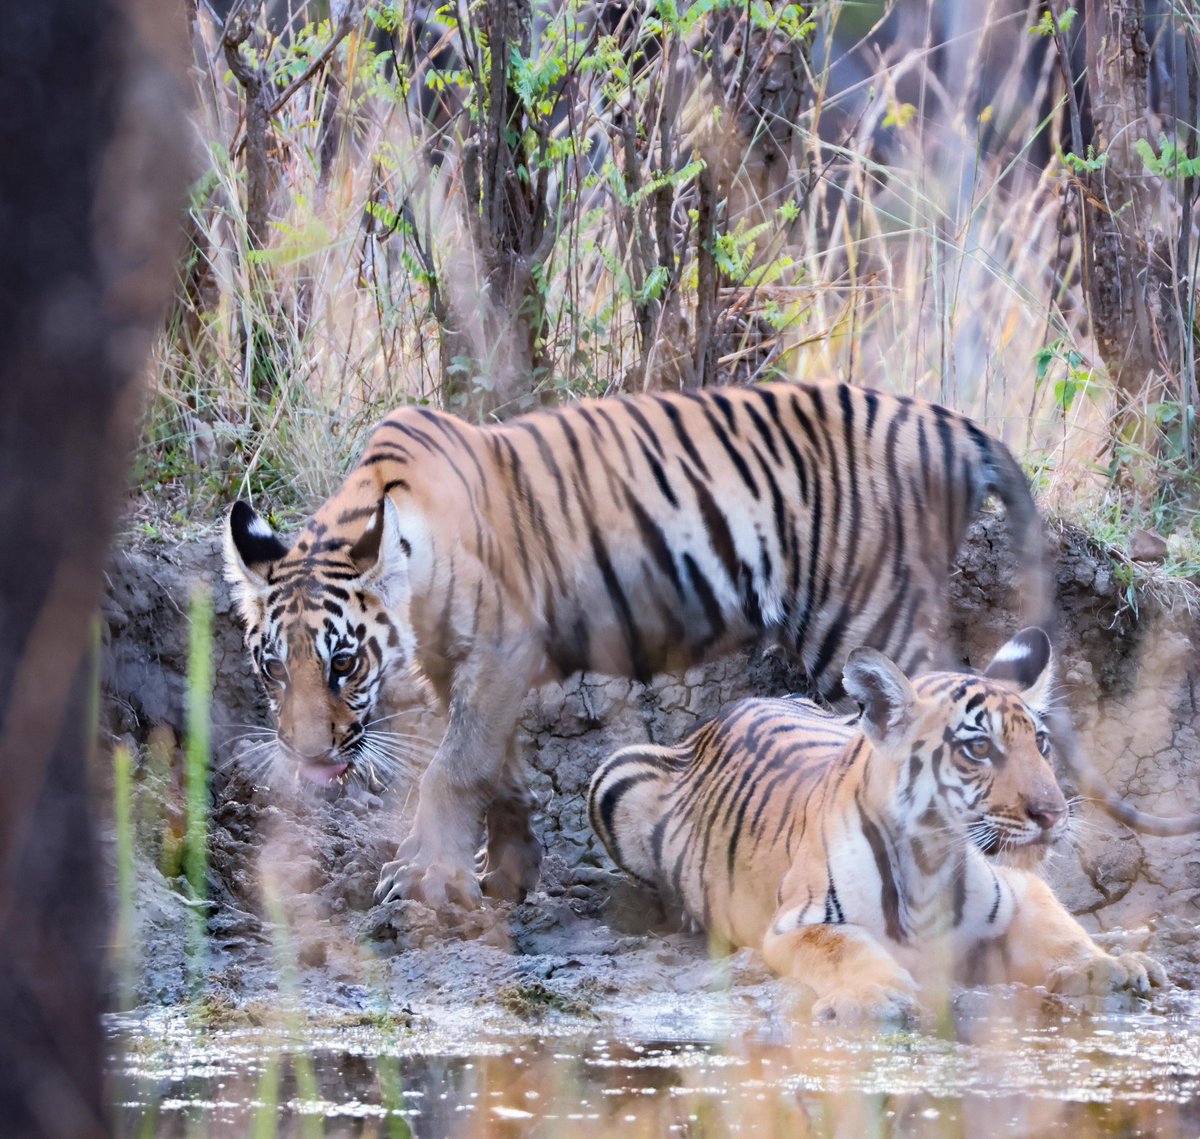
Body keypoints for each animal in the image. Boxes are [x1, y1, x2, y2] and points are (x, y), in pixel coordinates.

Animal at [223, 380, 1200, 912]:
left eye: (343, 663)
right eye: (273, 668)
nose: (307, 758)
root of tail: (944, 418)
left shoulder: (500, 651)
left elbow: (451, 767)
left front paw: (421, 878)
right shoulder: (465, 669)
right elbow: (496, 768)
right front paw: (507, 874)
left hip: (866, 612)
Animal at [588, 628, 1168, 1021]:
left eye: (1041, 743)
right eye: (979, 748)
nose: (1053, 815)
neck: (931, 861)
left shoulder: (1021, 890)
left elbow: (1061, 930)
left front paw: (1109, 967)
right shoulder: (797, 924)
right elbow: (844, 948)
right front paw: (876, 996)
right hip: (612, 775)